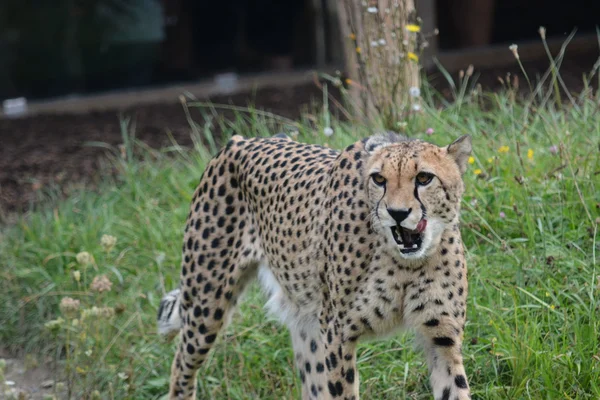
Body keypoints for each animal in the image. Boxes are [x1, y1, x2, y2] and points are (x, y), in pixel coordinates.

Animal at [158, 132, 474, 400]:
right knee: (180, 368)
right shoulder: (337, 335)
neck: (406, 263)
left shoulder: (442, 338)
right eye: (379, 179)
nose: (397, 212)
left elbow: (454, 387)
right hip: (206, 304)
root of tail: (242, 140)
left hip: (305, 322)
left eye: (424, 178)